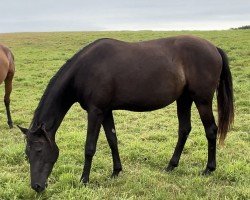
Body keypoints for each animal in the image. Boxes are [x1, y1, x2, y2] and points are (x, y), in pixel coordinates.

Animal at [18, 35, 234, 192]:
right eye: (27, 153)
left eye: (39, 150)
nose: (37, 186)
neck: (85, 69)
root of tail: (214, 48)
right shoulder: (106, 111)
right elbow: (112, 139)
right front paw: (116, 171)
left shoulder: (95, 112)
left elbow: (90, 147)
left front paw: (84, 180)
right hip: (184, 99)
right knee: (184, 129)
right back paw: (171, 165)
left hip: (202, 100)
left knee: (211, 130)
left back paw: (209, 168)